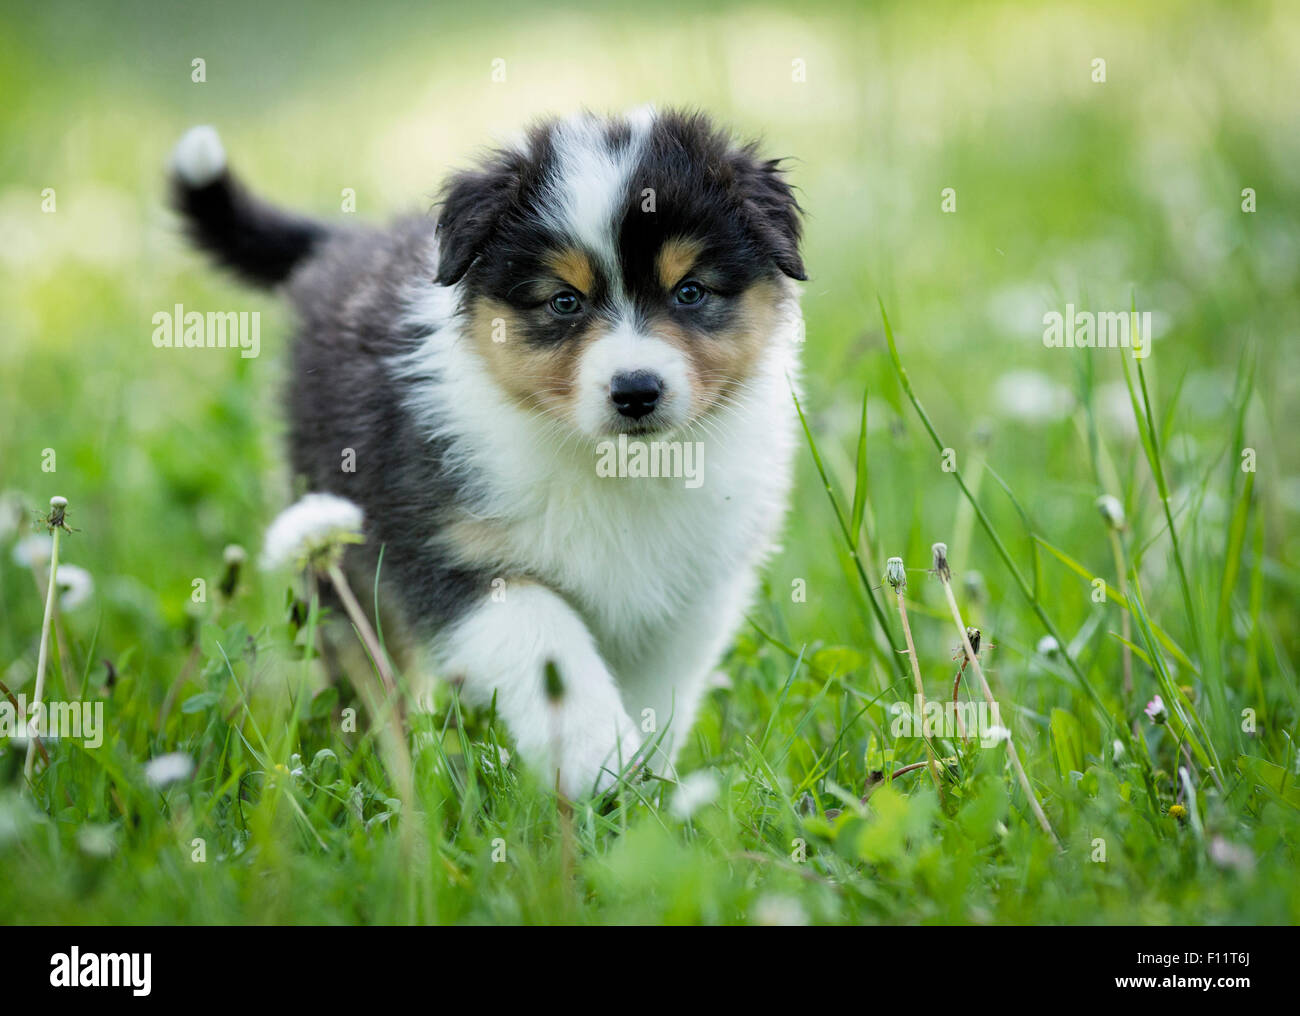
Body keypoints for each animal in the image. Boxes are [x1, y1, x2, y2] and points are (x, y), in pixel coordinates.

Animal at [172, 107, 800, 800]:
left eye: (690, 291)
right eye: (564, 301)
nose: (636, 391)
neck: (610, 462)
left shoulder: (693, 590)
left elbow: (660, 692)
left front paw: (643, 791)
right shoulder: (447, 549)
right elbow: (543, 636)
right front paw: (596, 759)